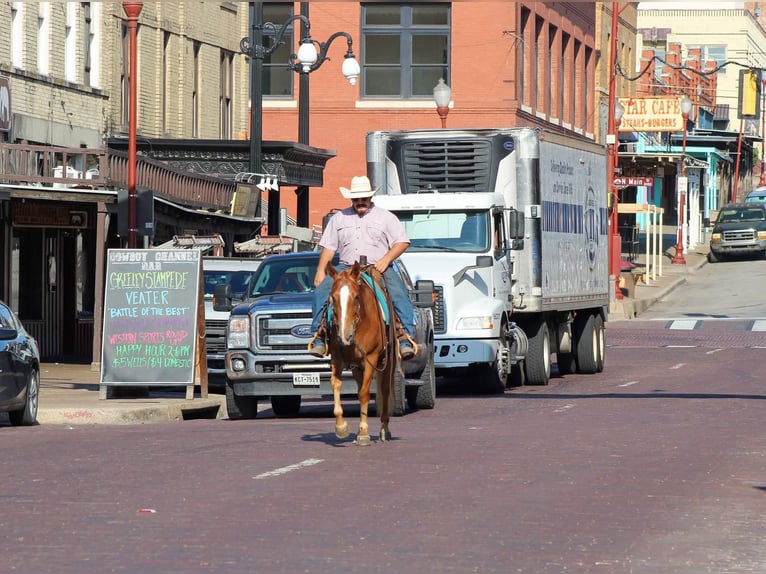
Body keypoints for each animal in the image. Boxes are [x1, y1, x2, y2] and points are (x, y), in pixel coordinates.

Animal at [326, 260, 400, 446]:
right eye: (333, 298)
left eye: (356, 297)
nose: (345, 336)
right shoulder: (336, 358)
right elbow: (336, 385)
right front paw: (341, 427)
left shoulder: (370, 358)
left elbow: (365, 394)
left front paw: (364, 433)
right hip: (357, 367)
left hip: (387, 362)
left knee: (384, 390)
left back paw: (384, 429)